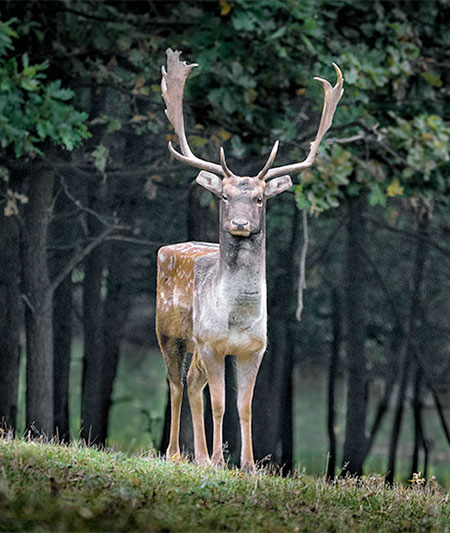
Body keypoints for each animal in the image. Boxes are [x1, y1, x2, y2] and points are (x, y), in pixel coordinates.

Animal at [156, 46, 342, 470]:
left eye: (259, 198)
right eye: (224, 195)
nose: (240, 223)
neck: (237, 319)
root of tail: (167, 249)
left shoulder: (255, 348)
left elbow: (244, 406)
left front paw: (249, 464)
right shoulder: (211, 342)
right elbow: (221, 403)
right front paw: (220, 461)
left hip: (194, 345)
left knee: (192, 382)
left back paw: (199, 457)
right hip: (169, 332)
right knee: (175, 383)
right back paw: (176, 453)